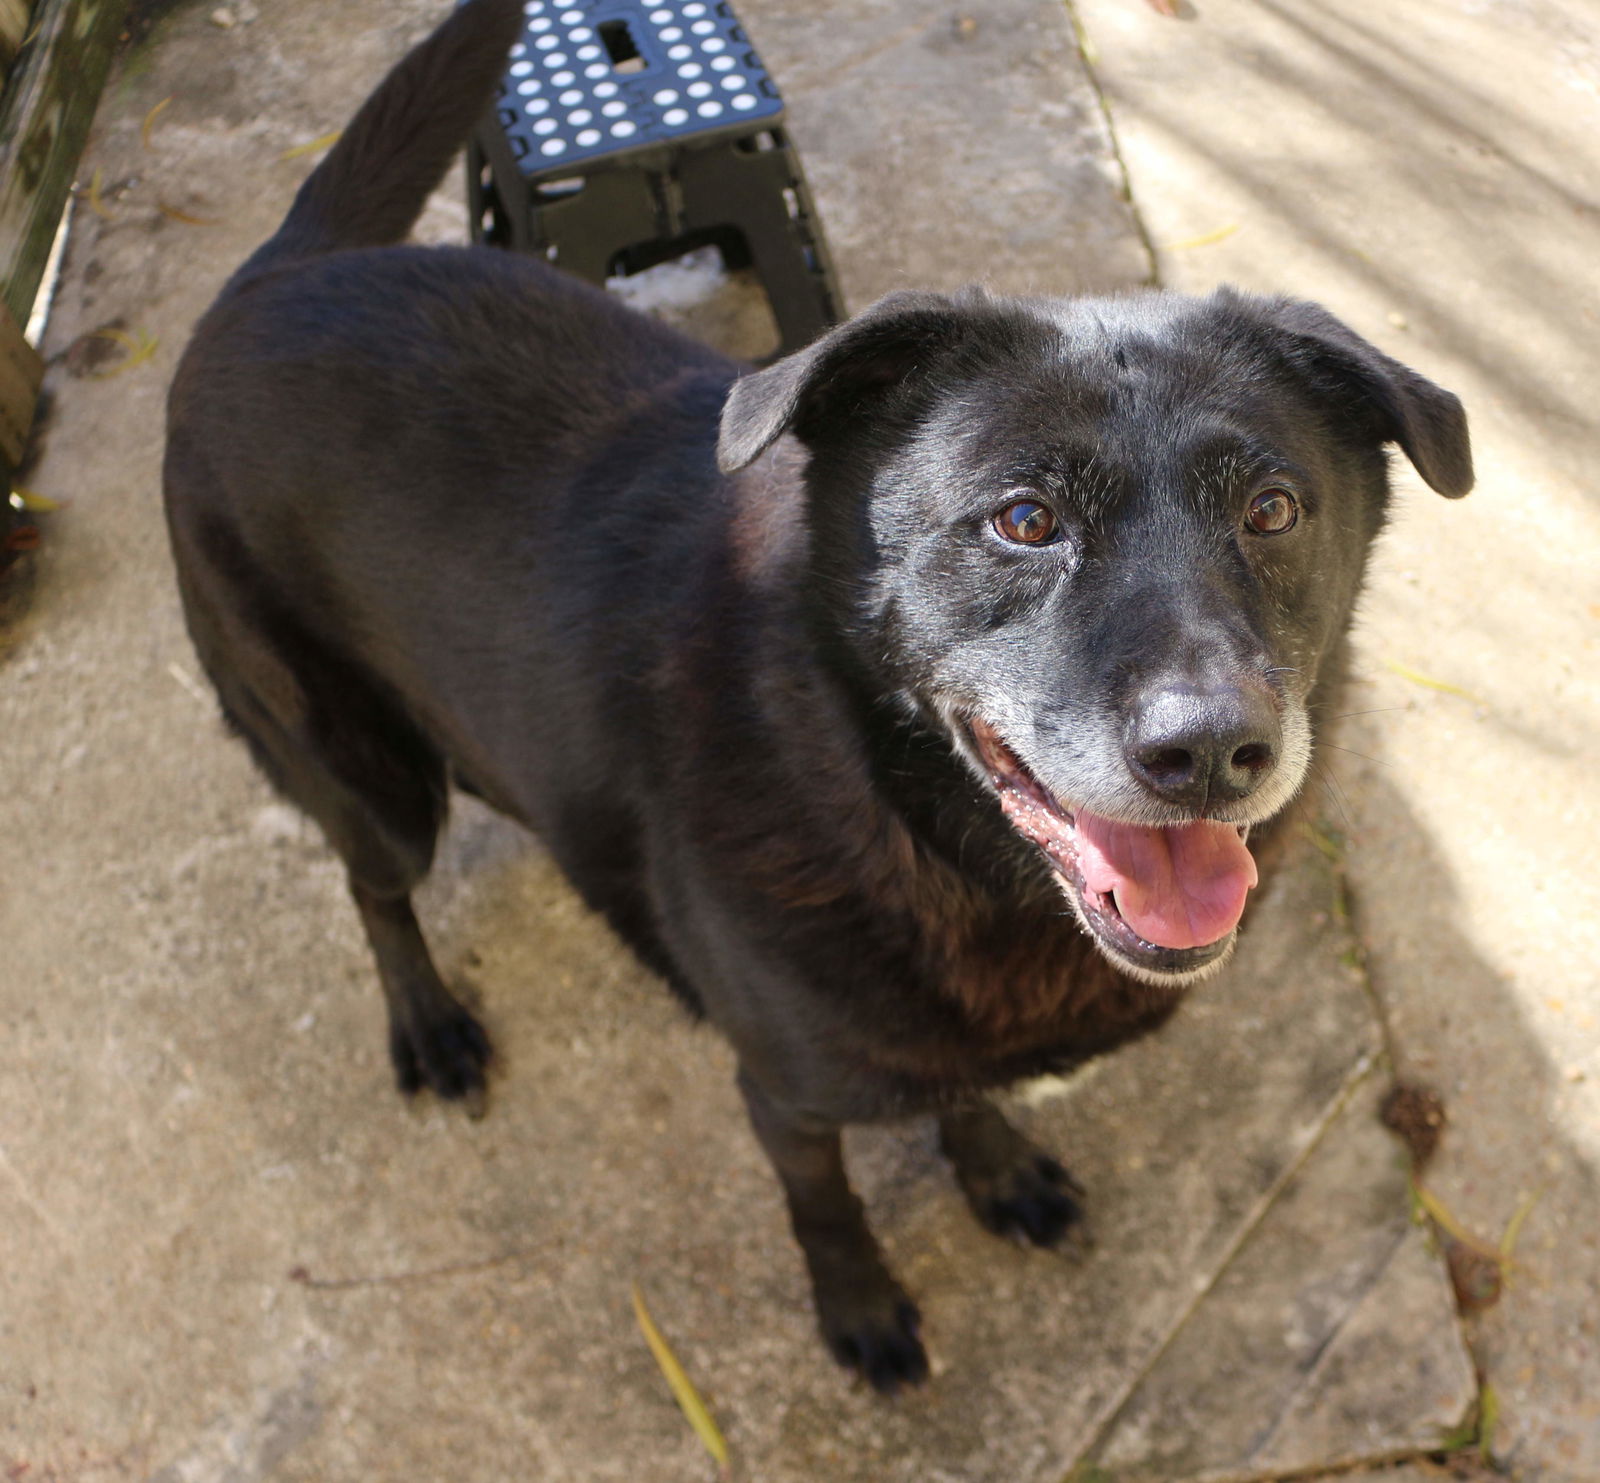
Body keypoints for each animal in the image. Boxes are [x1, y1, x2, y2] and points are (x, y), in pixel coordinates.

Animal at [165, 0, 1472, 1395]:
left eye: (1272, 509)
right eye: (1023, 519)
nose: (1217, 749)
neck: (904, 821)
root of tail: (284, 266)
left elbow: (960, 1091)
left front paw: (994, 1168)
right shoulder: (782, 1092)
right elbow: (825, 1202)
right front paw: (860, 1305)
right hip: (352, 759)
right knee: (374, 885)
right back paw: (428, 1021)